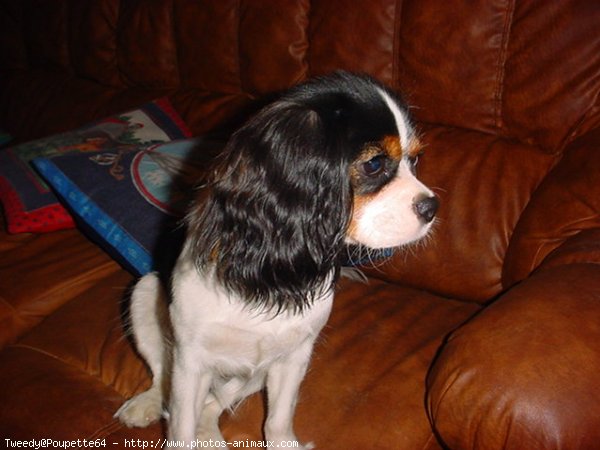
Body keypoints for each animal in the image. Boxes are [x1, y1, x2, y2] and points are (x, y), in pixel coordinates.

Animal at [115, 71, 438, 446]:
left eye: (415, 160)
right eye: (374, 164)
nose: (432, 207)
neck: (270, 270)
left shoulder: (295, 355)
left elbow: (278, 420)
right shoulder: (189, 360)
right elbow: (180, 425)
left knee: (214, 402)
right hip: (145, 292)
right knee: (162, 378)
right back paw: (148, 403)